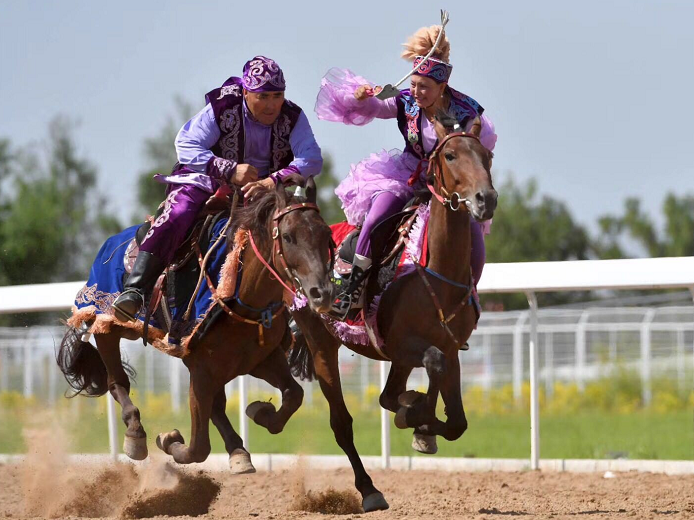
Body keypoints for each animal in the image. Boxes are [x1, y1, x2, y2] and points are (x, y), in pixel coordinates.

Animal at [57, 177, 334, 472]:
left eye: (325, 234)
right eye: (288, 236)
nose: (322, 293)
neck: (241, 294)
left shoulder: (260, 359)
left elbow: (293, 394)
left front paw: (261, 411)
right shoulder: (201, 368)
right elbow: (198, 447)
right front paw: (169, 439)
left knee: (217, 405)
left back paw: (238, 452)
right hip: (107, 326)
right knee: (117, 382)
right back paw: (135, 435)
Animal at [290, 115, 497, 511]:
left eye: (487, 156)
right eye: (449, 155)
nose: (486, 199)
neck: (438, 274)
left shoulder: (451, 347)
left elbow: (457, 422)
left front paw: (422, 425)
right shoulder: (401, 344)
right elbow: (431, 367)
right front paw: (417, 416)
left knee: (388, 396)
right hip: (321, 342)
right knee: (342, 422)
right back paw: (370, 490)